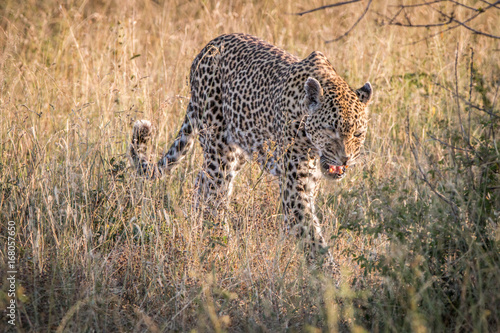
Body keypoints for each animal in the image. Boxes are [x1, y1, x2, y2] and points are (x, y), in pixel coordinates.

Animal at [129, 33, 372, 268]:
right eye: (330, 130)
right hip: (219, 150)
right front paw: (330, 275)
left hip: (238, 149)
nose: (345, 159)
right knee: (216, 197)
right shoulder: (294, 186)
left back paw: (197, 229)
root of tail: (206, 47)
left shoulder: (310, 182)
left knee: (201, 183)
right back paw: (221, 246)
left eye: (358, 134)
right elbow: (311, 235)